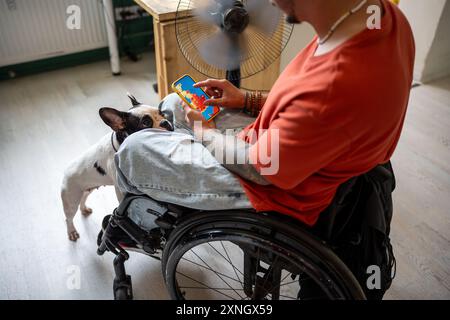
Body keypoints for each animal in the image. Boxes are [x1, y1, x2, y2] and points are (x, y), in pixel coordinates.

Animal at [60, 94, 172, 241]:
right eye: (145, 123)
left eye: (162, 113)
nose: (166, 122)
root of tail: (66, 172)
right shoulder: (121, 190)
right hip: (71, 198)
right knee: (69, 218)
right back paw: (71, 232)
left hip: (87, 189)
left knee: (83, 199)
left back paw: (84, 209)